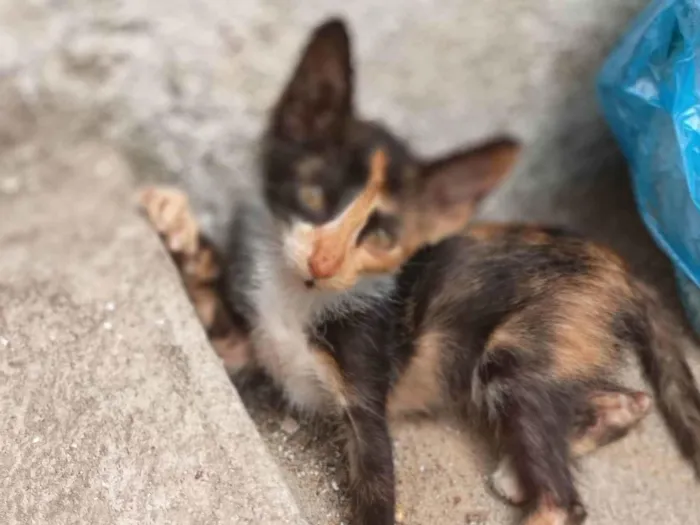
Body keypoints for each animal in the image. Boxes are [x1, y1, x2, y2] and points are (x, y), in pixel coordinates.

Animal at [139, 18, 700, 524]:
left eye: (382, 236)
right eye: (313, 197)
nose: (323, 263)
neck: (300, 293)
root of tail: (618, 264)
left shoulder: (366, 401)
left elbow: (376, 488)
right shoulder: (246, 344)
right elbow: (217, 318)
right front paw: (176, 223)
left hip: (522, 346)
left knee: (564, 501)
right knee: (630, 397)